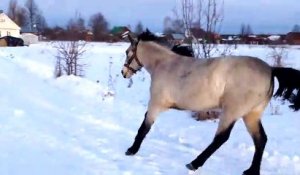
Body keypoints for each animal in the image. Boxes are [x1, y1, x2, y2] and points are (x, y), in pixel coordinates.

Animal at [120, 29, 300, 174]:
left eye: (128, 52)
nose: (123, 73)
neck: (163, 65)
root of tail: (270, 70)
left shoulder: (156, 104)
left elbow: (144, 128)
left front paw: (131, 150)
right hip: (251, 115)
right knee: (260, 140)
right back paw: (251, 171)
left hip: (231, 112)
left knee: (221, 138)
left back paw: (194, 163)